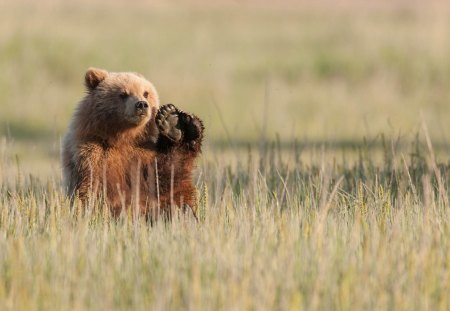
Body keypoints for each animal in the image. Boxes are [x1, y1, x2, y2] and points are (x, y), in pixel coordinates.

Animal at [62, 68, 204, 219]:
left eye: (145, 93)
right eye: (123, 94)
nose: (141, 104)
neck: (122, 137)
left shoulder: (143, 155)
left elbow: (165, 179)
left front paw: (170, 120)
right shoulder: (93, 154)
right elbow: (96, 190)